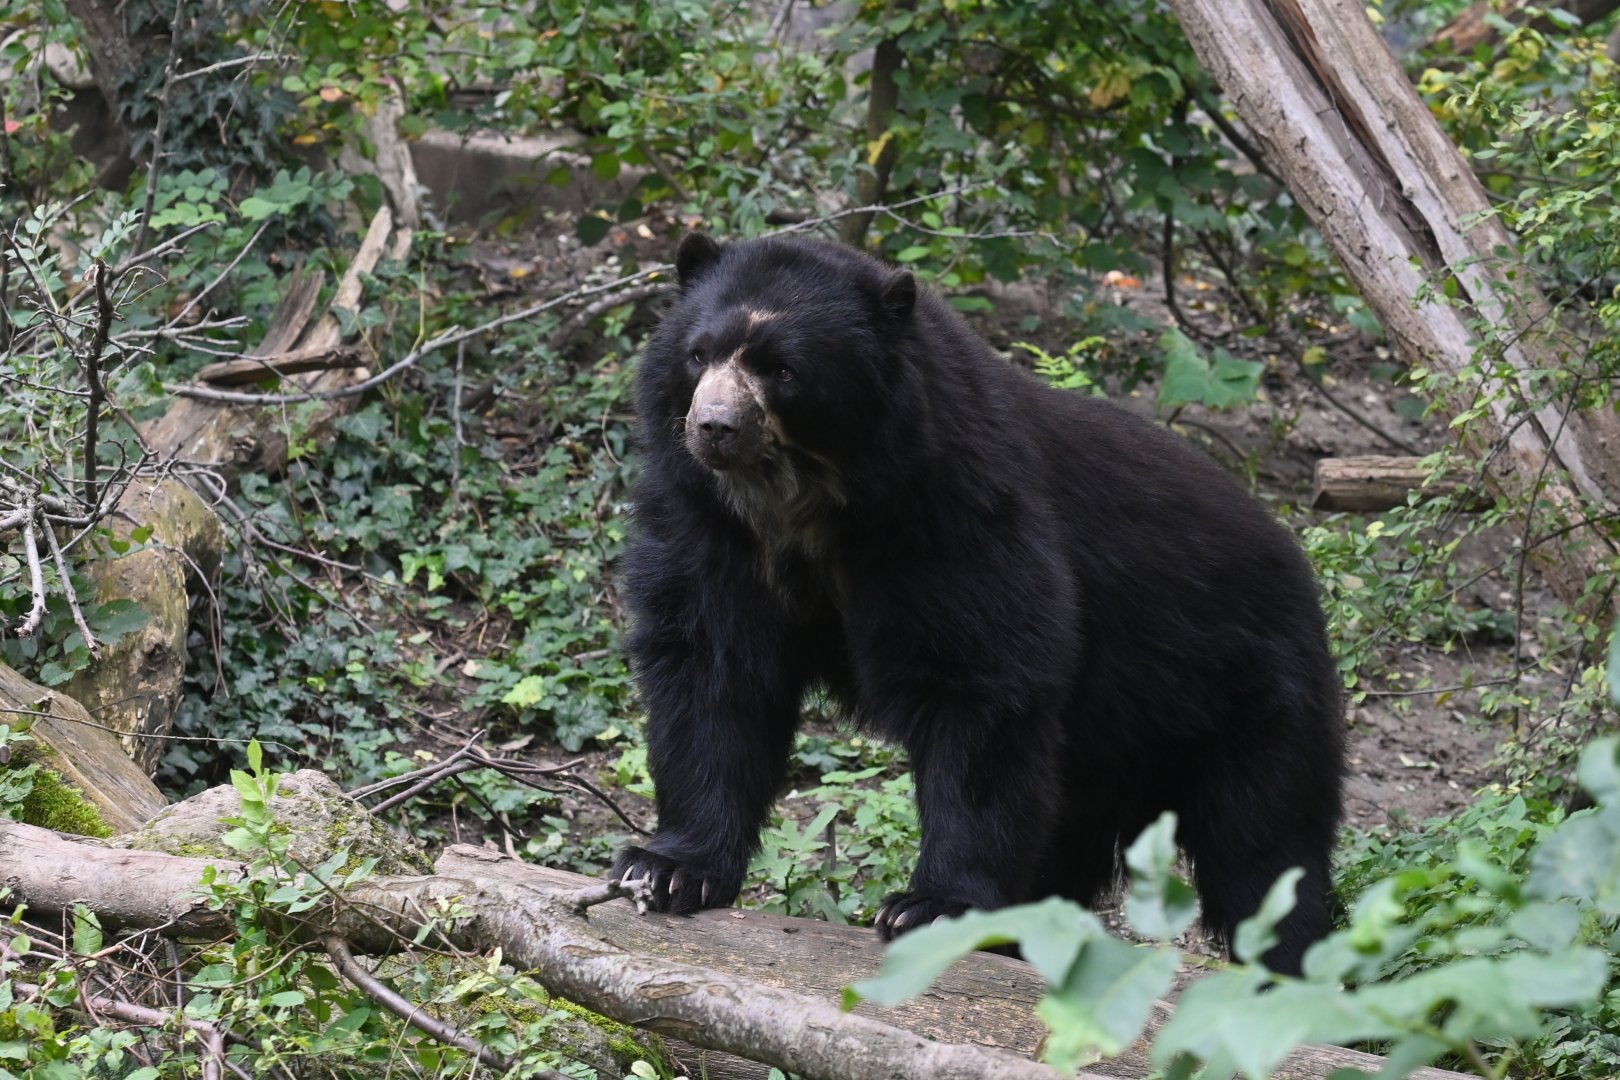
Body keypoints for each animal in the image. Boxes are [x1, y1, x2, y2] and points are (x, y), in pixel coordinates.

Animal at [610, 232, 1345, 975]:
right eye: (698, 354)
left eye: (783, 370)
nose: (714, 427)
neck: (803, 502)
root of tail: (1295, 556)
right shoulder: (711, 532)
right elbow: (712, 672)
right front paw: (666, 868)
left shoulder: (956, 515)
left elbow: (981, 688)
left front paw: (930, 906)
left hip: (1246, 697)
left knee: (1262, 851)